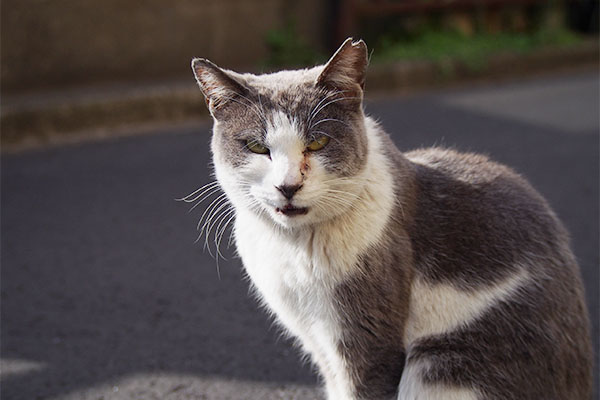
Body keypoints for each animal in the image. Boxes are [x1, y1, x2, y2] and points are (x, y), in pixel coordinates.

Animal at [190, 38, 592, 400]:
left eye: (318, 143)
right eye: (257, 147)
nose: (288, 185)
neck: (295, 247)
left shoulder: (367, 340)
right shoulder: (319, 344)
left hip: (443, 365)